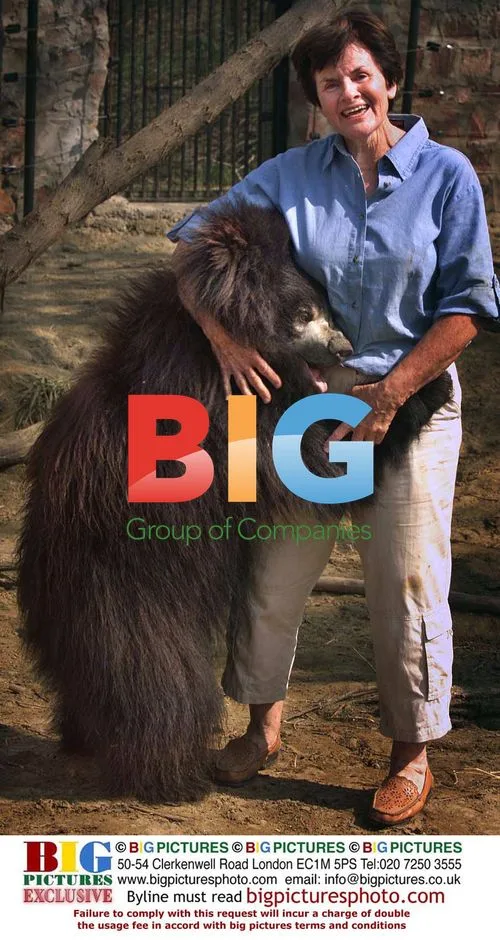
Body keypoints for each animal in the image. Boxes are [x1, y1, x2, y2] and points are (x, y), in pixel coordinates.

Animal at [17, 201, 452, 803]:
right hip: (131, 593)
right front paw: (430, 390)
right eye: (303, 313)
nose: (344, 349)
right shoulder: (233, 416)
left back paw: (81, 739)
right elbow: (315, 457)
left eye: (326, 308)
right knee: (154, 681)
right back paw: (171, 773)